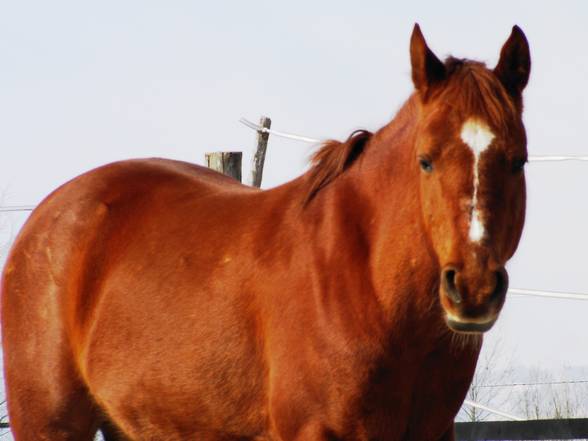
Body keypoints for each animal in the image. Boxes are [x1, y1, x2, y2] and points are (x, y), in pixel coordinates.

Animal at [1, 24, 528, 440]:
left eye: (517, 160)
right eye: (426, 160)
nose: (473, 288)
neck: (365, 283)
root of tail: (46, 216)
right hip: (50, 424)